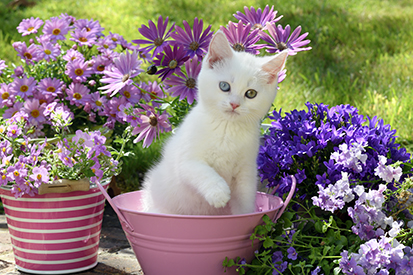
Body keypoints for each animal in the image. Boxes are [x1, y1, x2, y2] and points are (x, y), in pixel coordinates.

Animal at [140, 31, 284, 217]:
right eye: (224, 86)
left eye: (251, 93)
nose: (234, 104)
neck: (227, 129)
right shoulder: (187, 160)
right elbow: (203, 171)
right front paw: (219, 193)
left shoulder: (246, 171)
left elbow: (244, 199)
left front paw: (245, 216)